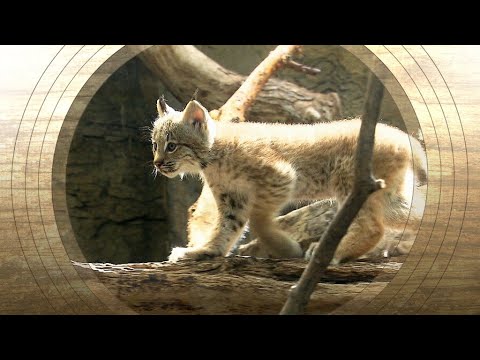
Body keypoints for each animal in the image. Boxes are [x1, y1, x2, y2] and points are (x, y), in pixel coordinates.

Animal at [152, 98, 426, 264]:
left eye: (172, 146)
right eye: (155, 145)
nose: (157, 163)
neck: (211, 157)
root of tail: (402, 136)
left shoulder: (281, 176)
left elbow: (258, 220)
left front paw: (285, 248)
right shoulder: (233, 197)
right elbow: (228, 227)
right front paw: (205, 251)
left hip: (351, 181)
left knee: (372, 227)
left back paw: (332, 253)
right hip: (387, 195)